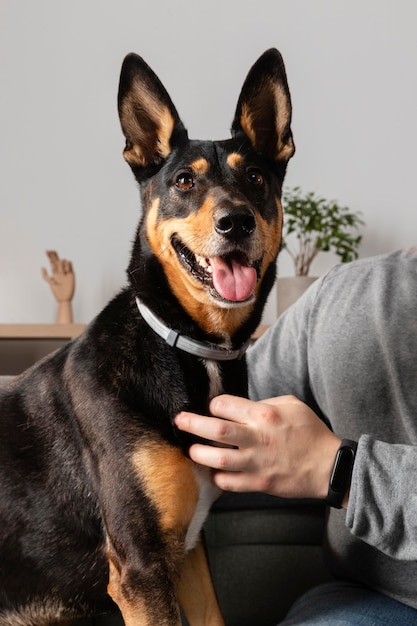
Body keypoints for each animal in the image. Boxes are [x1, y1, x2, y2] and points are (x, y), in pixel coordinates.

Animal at [0, 50, 294, 624]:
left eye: (255, 176)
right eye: (183, 182)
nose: (236, 221)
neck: (192, 346)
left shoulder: (186, 554)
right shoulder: (140, 567)